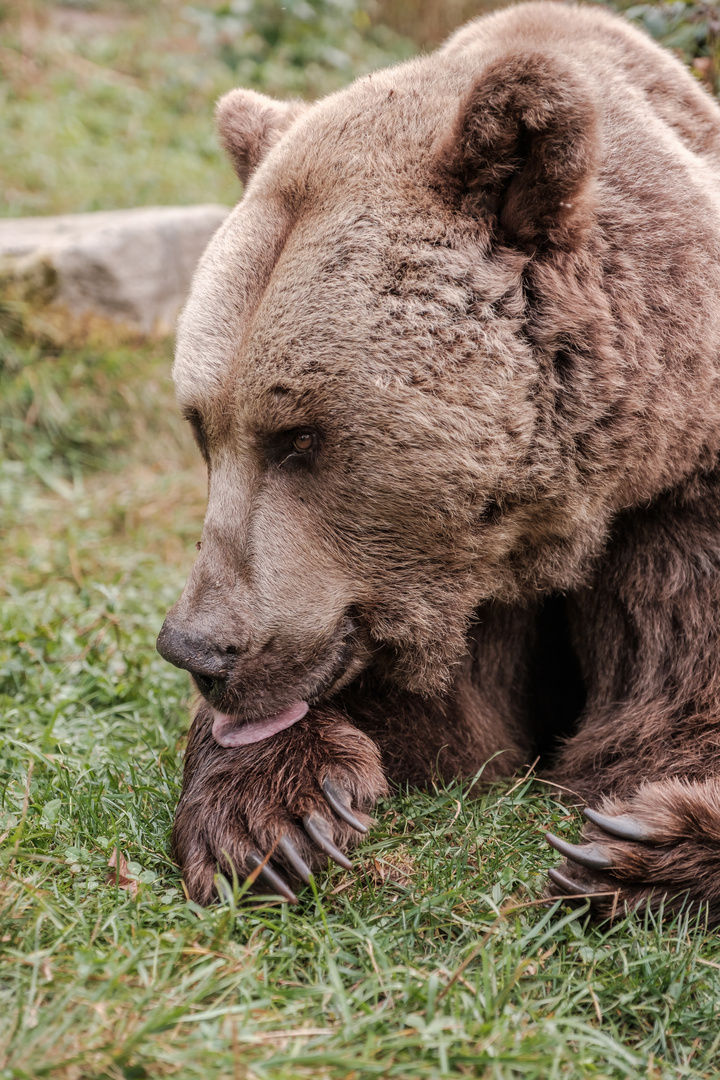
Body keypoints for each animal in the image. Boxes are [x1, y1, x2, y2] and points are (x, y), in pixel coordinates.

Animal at [156, 2, 720, 920]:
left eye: (299, 436)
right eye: (202, 427)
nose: (196, 649)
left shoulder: (679, 505)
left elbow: (676, 706)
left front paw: (640, 846)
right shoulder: (420, 593)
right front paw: (275, 816)